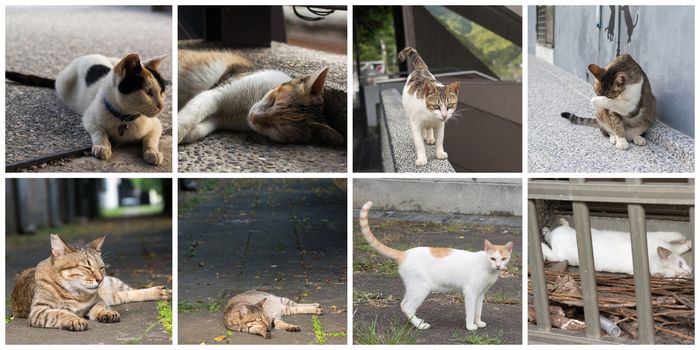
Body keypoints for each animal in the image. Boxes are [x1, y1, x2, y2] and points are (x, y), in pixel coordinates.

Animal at [6, 53, 167, 165]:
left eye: (162, 91)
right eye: (147, 92)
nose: (161, 106)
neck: (125, 118)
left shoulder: (156, 125)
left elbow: (151, 138)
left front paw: (153, 152)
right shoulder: (89, 118)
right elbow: (99, 131)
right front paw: (102, 146)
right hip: (64, 82)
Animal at [10, 235, 171, 330]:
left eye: (101, 267)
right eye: (87, 267)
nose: (100, 279)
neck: (75, 292)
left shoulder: (98, 300)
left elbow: (99, 307)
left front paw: (105, 313)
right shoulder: (39, 311)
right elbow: (60, 313)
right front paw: (73, 319)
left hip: (113, 284)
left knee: (130, 292)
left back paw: (160, 291)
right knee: (124, 295)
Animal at [176, 49, 344, 145]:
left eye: (277, 127)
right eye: (273, 100)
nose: (254, 117)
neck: (243, 110)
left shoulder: (218, 119)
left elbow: (199, 129)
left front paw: (184, 136)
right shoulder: (215, 94)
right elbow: (189, 117)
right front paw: (175, 136)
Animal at [360, 202, 516, 330]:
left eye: (503, 259)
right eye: (492, 258)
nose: (498, 266)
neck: (488, 269)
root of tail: (404, 253)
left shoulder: (480, 293)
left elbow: (478, 311)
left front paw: (478, 323)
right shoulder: (470, 292)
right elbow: (471, 311)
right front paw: (471, 326)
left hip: (413, 287)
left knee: (404, 304)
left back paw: (417, 322)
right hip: (421, 287)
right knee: (406, 306)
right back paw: (420, 325)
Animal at [540, 217, 692, 278]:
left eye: (681, 264)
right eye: (677, 276)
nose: (688, 273)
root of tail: (556, 236)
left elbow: (675, 243)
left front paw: (687, 242)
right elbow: (672, 237)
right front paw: (685, 239)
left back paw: (549, 227)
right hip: (559, 256)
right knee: (550, 252)